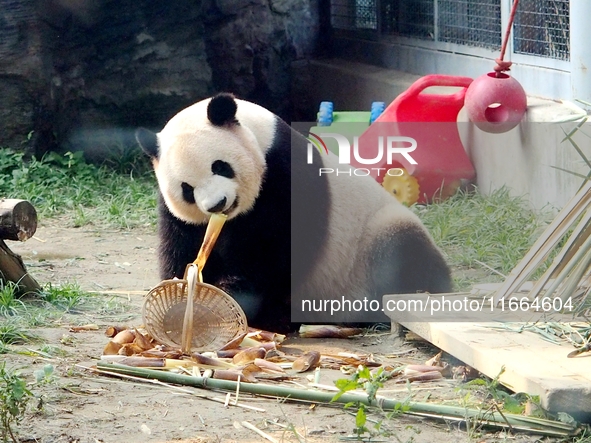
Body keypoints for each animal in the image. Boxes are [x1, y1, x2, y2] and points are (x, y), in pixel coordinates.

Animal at [138, 93, 454, 332]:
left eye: (220, 166)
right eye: (187, 189)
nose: (217, 204)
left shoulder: (284, 175)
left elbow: (276, 248)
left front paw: (236, 293)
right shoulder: (175, 212)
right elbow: (181, 242)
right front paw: (182, 297)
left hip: (375, 241)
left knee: (404, 257)